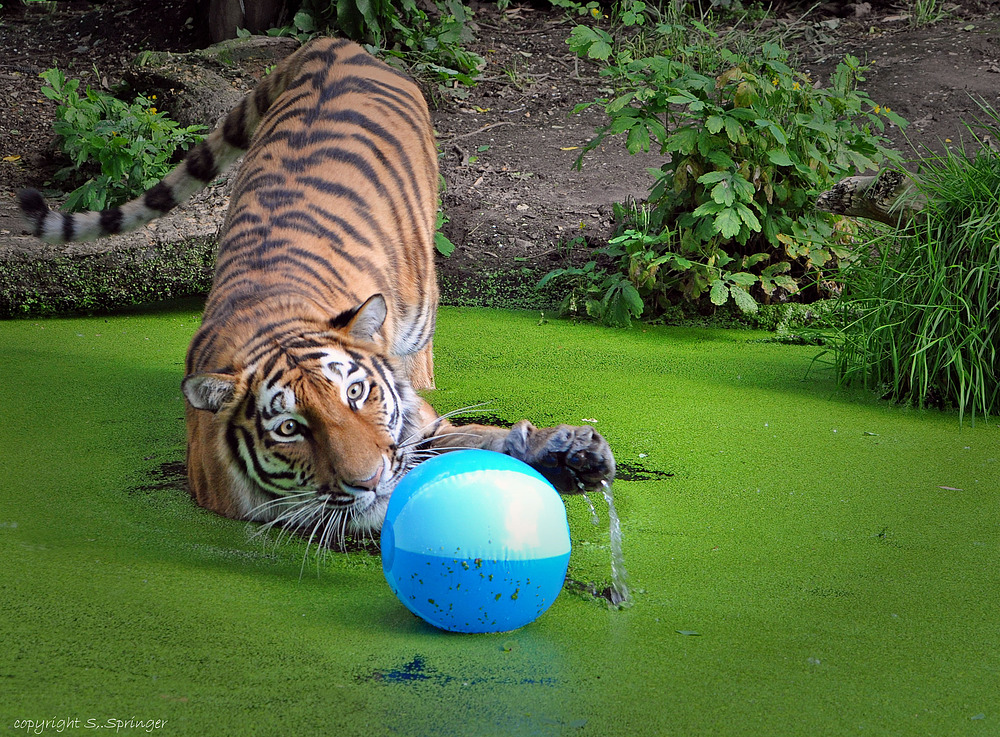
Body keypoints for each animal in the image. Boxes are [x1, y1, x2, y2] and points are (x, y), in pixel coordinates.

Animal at [19, 38, 612, 548]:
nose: (371, 480)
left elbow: (472, 439)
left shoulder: (423, 426)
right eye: (290, 428)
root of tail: (332, 44)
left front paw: (564, 452)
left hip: (420, 298)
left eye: (357, 393)